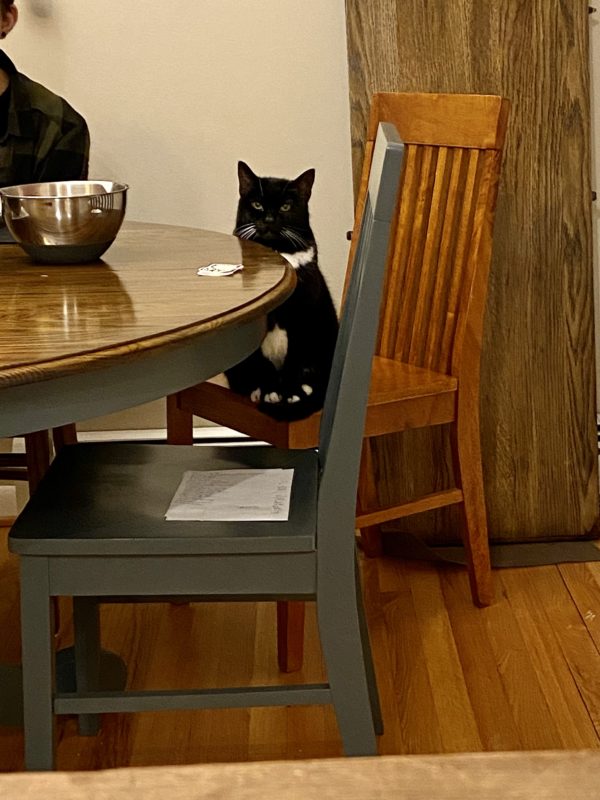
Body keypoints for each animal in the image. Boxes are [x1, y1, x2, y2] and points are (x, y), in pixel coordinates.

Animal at [224, 160, 338, 422]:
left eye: (286, 206)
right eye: (257, 204)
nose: (268, 218)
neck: (277, 253)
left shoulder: (303, 317)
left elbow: (294, 359)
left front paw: (289, 392)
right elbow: (261, 362)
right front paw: (269, 391)